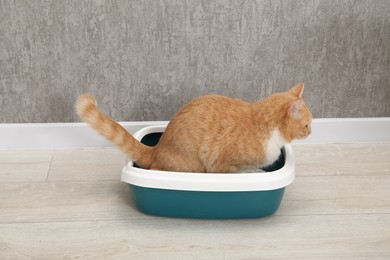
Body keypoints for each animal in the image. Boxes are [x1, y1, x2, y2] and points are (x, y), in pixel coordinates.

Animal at [77, 83, 312, 173]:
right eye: (307, 124)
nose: (311, 132)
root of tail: (157, 148)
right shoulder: (222, 165)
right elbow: (244, 170)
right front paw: (254, 171)